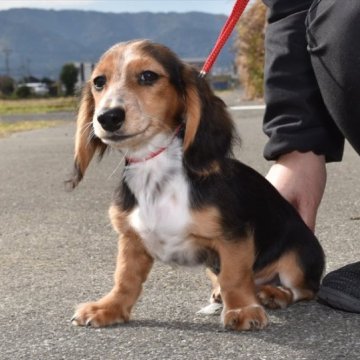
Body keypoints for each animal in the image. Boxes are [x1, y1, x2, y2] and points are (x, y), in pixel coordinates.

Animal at [67, 40, 324, 332]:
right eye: (99, 82)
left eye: (148, 76)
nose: (108, 117)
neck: (154, 168)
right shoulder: (132, 239)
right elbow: (124, 278)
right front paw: (108, 308)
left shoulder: (234, 237)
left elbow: (235, 277)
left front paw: (242, 309)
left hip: (298, 258)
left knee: (304, 290)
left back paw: (273, 293)